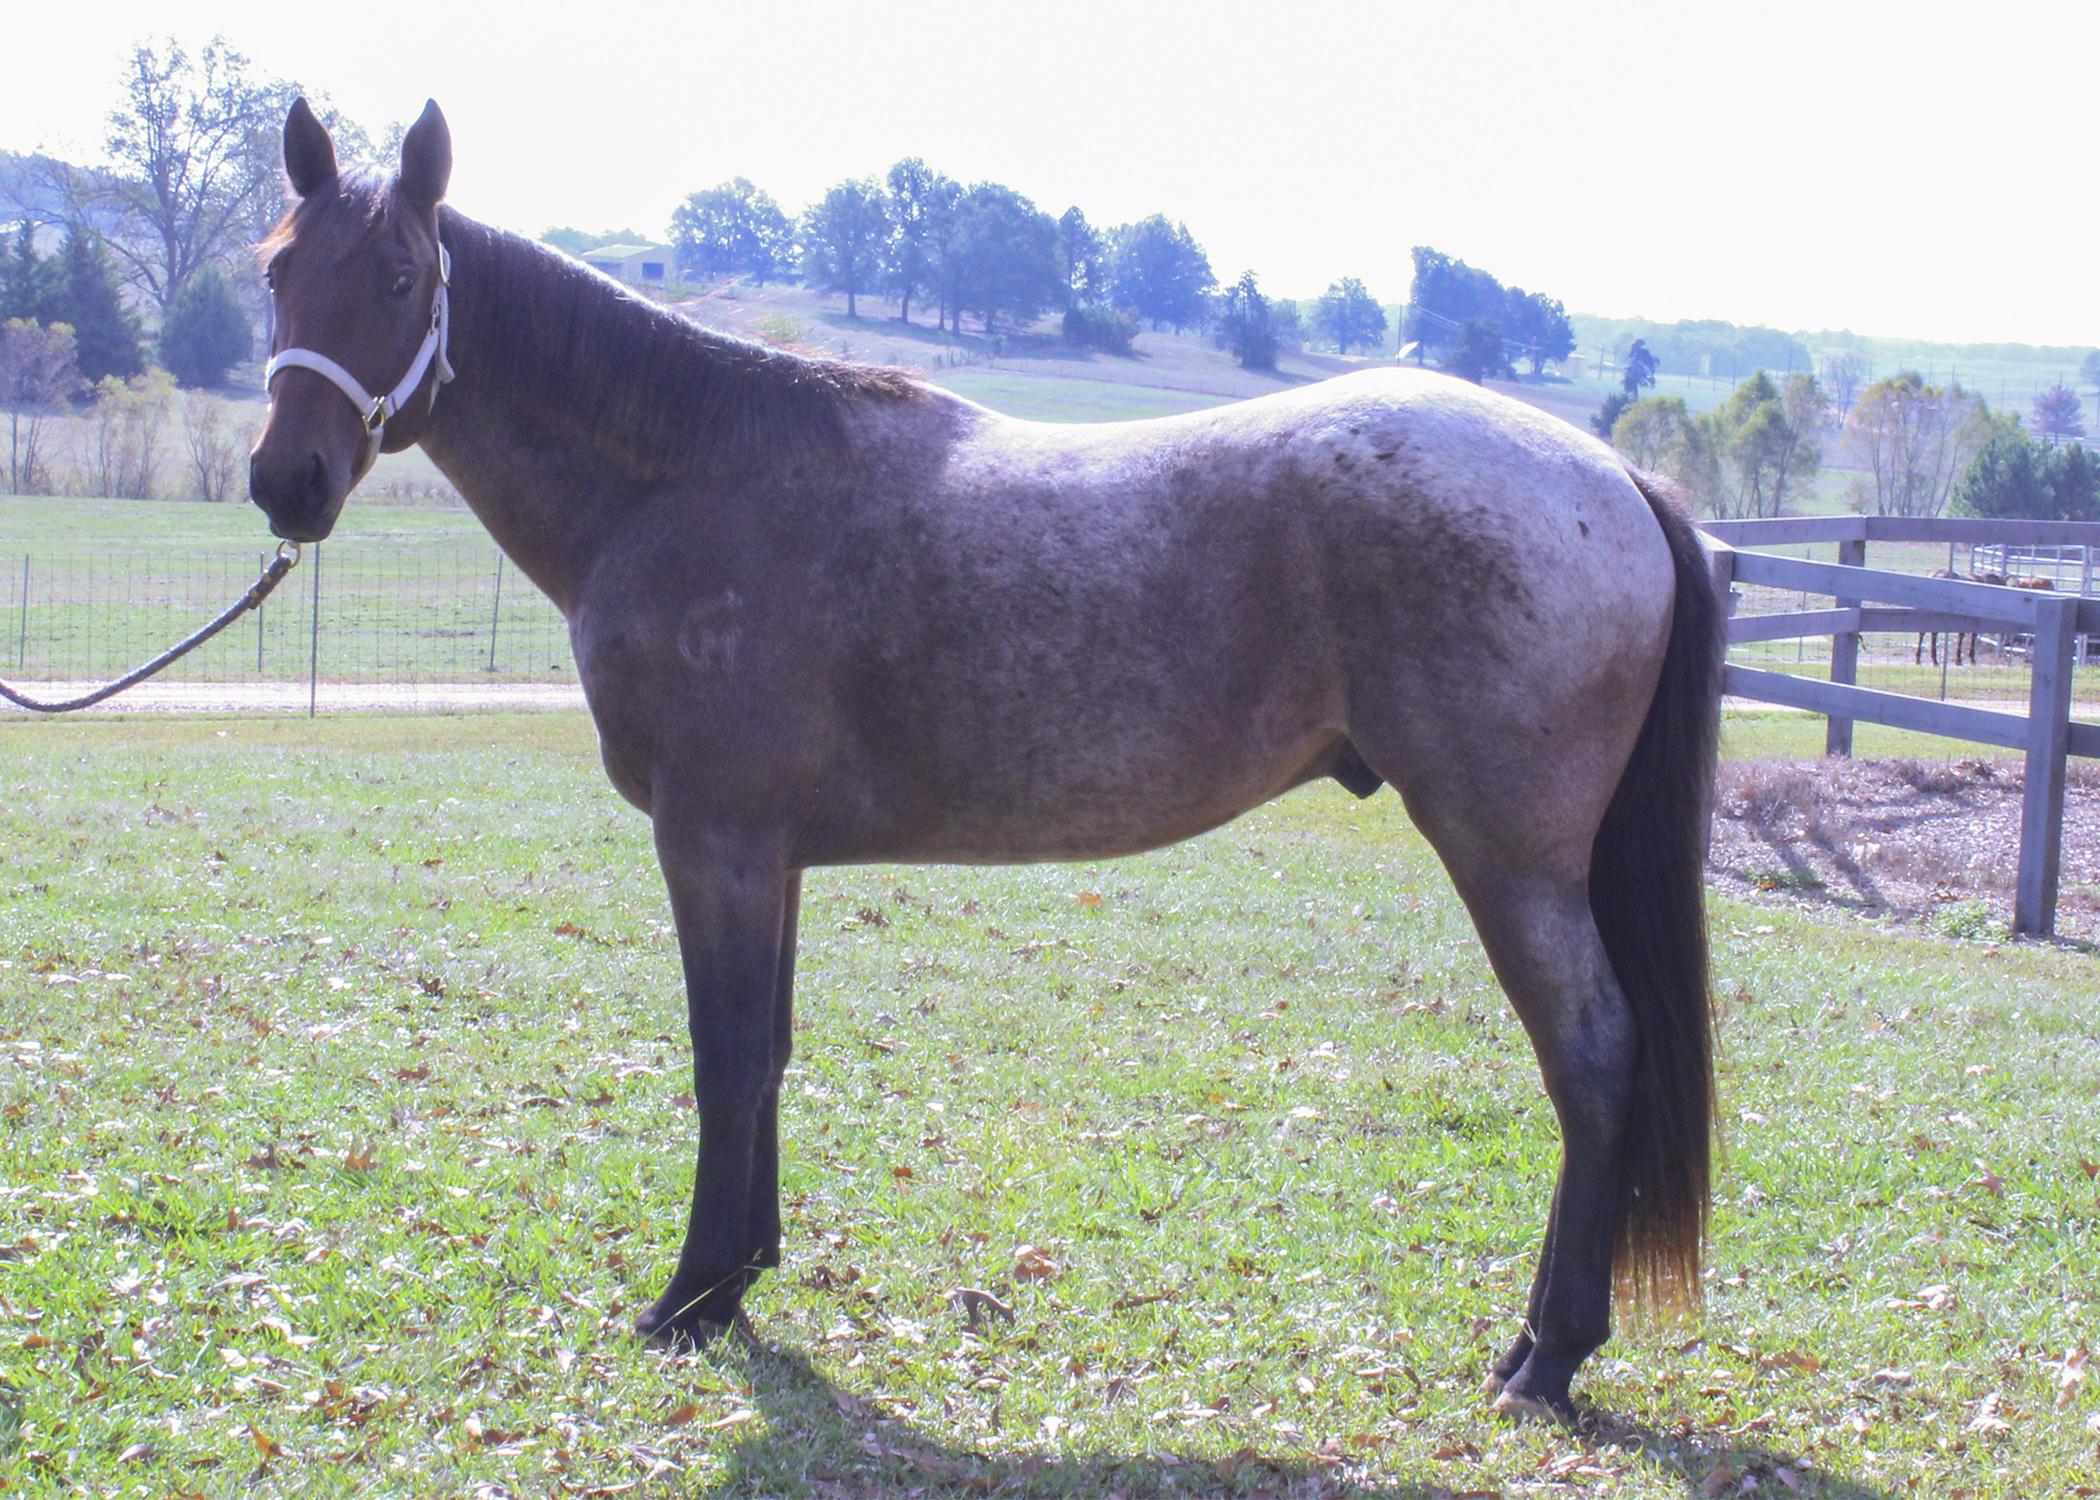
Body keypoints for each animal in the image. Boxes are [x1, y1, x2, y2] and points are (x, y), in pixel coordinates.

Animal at [245, 102, 1721, 1411]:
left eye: (398, 275)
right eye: (273, 269)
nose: (284, 482)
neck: (683, 477)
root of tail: (1611, 480)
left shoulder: (712, 837)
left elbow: (723, 1055)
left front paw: (691, 1296)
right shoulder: (771, 855)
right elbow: (768, 1051)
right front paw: (745, 1275)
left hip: (1511, 859)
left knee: (1593, 1058)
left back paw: (1545, 1358)